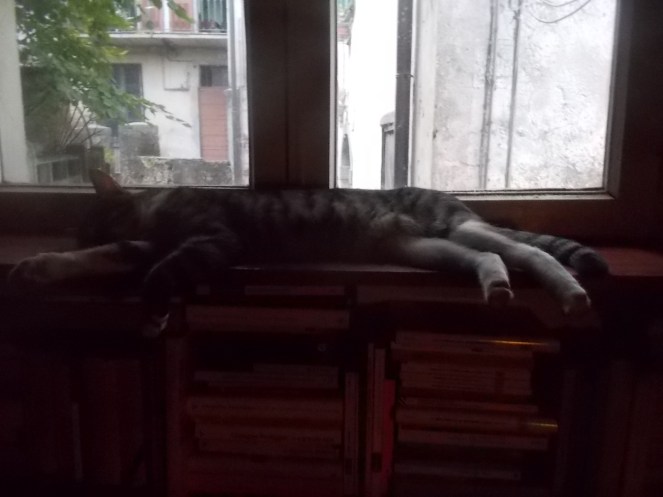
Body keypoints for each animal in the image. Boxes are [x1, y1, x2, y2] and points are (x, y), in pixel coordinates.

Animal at [9, 169, 608, 334]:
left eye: (91, 222)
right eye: (78, 235)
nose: (77, 238)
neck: (155, 206)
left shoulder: (211, 237)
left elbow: (161, 270)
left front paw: (154, 310)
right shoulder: (143, 243)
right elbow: (112, 257)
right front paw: (39, 267)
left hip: (457, 228)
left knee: (530, 254)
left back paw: (571, 293)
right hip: (427, 247)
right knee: (494, 260)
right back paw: (497, 288)